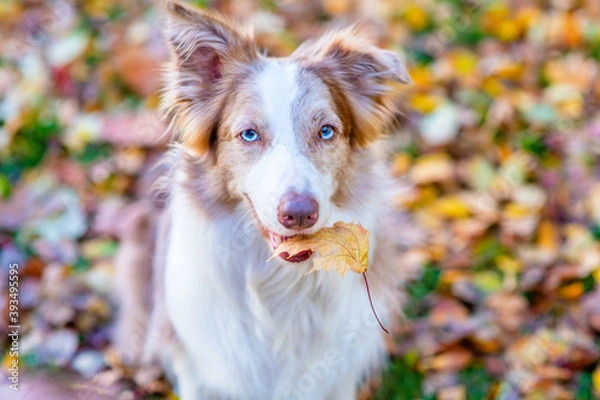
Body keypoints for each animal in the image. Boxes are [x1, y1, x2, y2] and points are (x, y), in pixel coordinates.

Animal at [114, 1, 410, 398]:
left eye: (326, 131)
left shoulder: (337, 375)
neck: (280, 283)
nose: (299, 214)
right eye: (250, 134)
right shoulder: (198, 369)